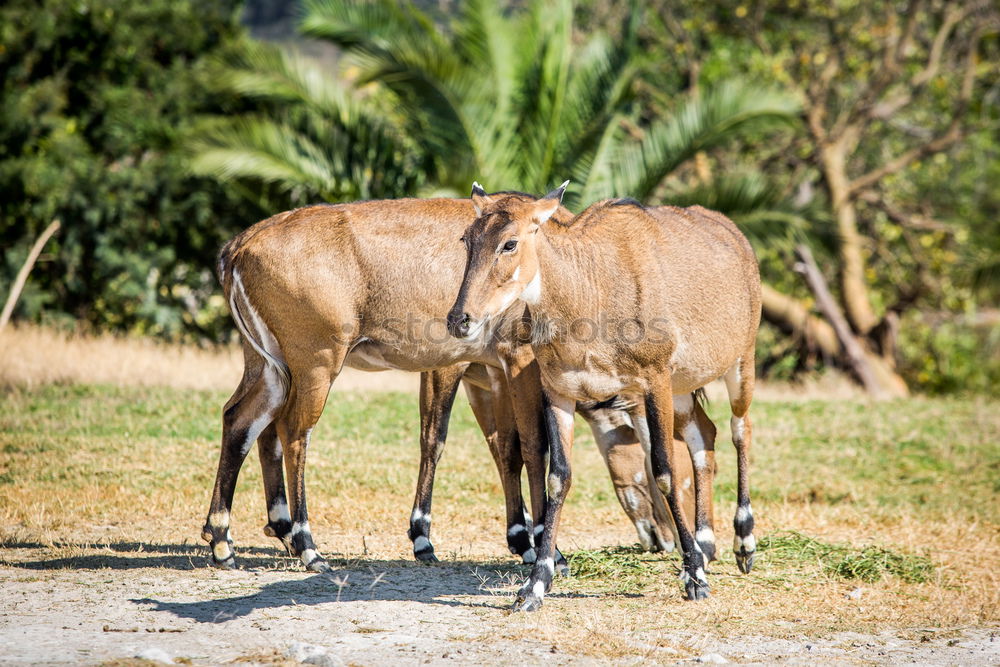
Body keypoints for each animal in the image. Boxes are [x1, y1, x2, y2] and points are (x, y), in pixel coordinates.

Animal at [446, 183, 756, 612]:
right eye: (467, 239)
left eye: (509, 243)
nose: (459, 319)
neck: (588, 293)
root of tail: (736, 234)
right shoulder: (559, 391)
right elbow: (558, 477)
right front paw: (534, 586)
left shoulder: (654, 380)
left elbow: (663, 470)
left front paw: (695, 578)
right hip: (682, 389)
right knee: (704, 434)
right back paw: (706, 545)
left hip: (740, 363)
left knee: (740, 429)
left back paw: (743, 544)